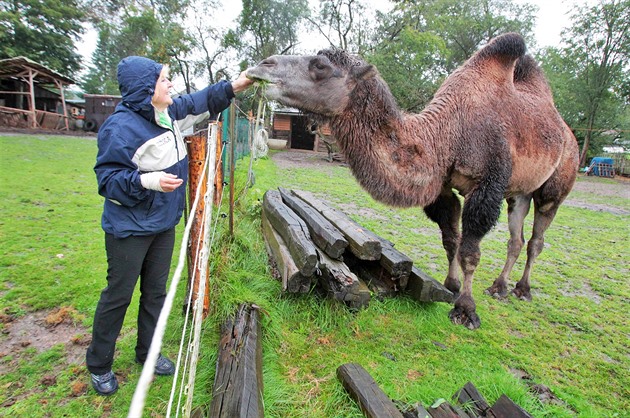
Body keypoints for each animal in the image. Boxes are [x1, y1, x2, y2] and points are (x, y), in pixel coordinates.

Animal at [248, 32, 584, 328]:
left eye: (320, 65)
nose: (262, 65)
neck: (446, 136)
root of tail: (567, 132)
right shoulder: (442, 188)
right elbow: (450, 240)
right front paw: (451, 286)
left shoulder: (486, 186)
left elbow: (470, 251)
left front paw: (466, 310)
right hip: (518, 192)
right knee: (516, 238)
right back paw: (499, 287)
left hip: (558, 180)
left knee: (538, 236)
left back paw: (522, 290)